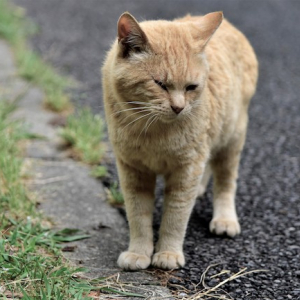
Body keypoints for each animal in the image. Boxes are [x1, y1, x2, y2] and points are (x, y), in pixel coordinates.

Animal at [101, 11, 258, 270]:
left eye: (191, 87)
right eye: (160, 84)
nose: (178, 107)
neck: (153, 131)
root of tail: (229, 25)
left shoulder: (187, 169)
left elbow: (176, 216)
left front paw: (168, 253)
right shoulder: (132, 170)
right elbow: (138, 215)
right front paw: (138, 252)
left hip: (231, 139)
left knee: (225, 181)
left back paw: (225, 219)